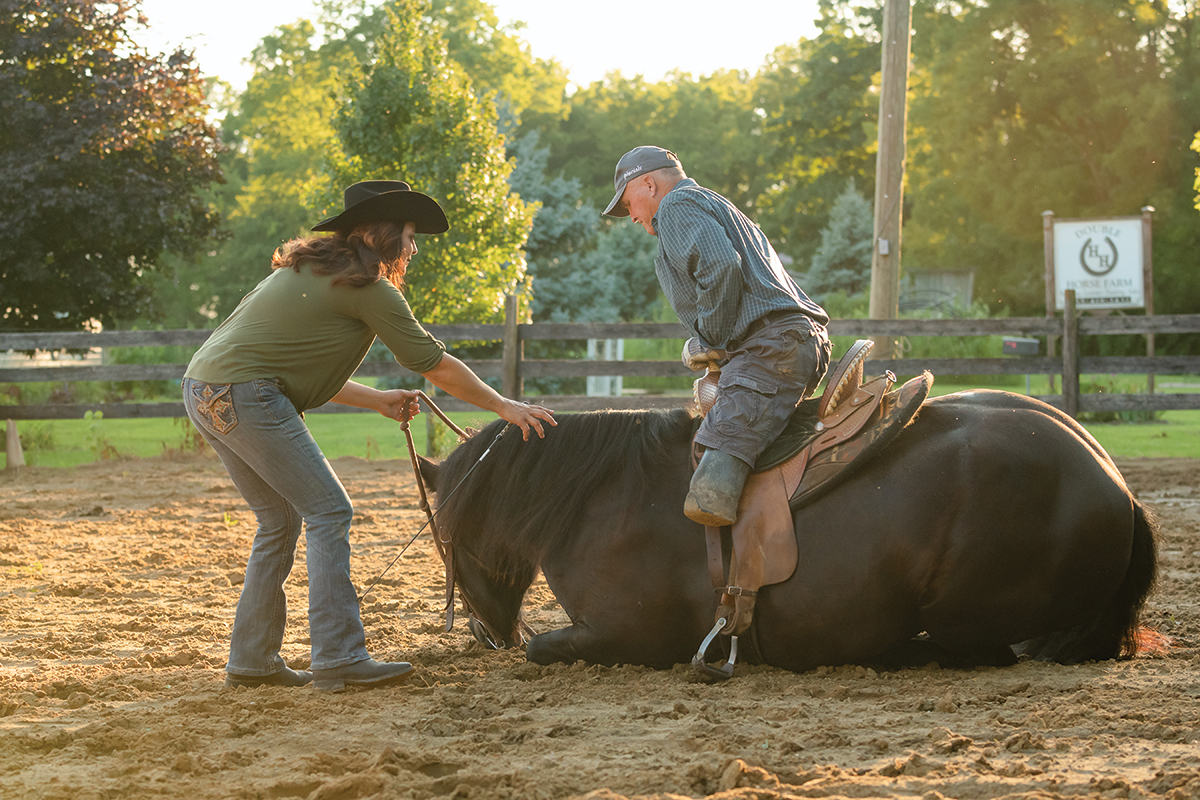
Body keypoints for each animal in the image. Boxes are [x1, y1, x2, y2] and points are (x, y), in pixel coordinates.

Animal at [417, 391, 1156, 671]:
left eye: (446, 541)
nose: (483, 633)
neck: (606, 494)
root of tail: (1113, 483)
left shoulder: (625, 636)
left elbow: (539, 650)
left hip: (960, 615)